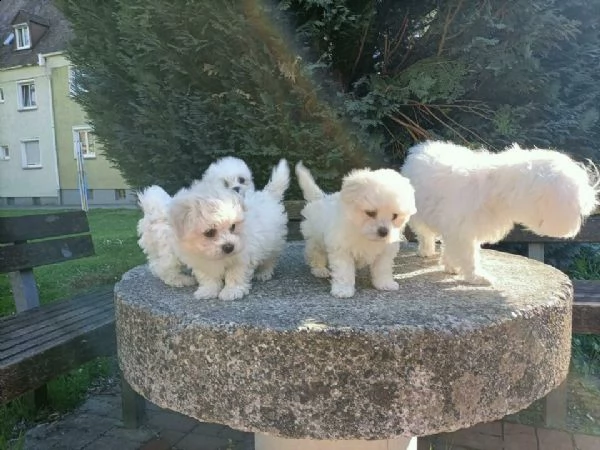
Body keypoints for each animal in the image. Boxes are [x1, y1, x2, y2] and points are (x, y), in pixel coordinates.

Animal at [169, 160, 290, 300]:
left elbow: (235, 274)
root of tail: (267, 194)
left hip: (273, 241)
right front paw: (208, 290)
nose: (229, 247)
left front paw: (232, 291)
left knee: (270, 258)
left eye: (233, 226)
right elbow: (208, 276)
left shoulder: (242, 256)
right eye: (209, 232)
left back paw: (263, 272)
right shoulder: (201, 260)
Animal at [296, 163, 418, 298]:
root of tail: (320, 198)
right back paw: (319, 270)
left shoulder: (385, 250)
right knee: (316, 254)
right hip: (315, 238)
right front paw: (343, 290)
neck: (363, 234)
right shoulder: (342, 248)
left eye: (395, 216)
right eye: (370, 213)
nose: (383, 231)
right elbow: (344, 271)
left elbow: (382, 268)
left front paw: (385, 283)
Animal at [400, 139, 596, 284]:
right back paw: (426, 250)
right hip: (419, 213)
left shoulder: (457, 228)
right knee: (425, 233)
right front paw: (476, 276)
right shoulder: (461, 229)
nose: (589, 205)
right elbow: (468, 254)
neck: (497, 188)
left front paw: (452, 267)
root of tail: (420, 148)